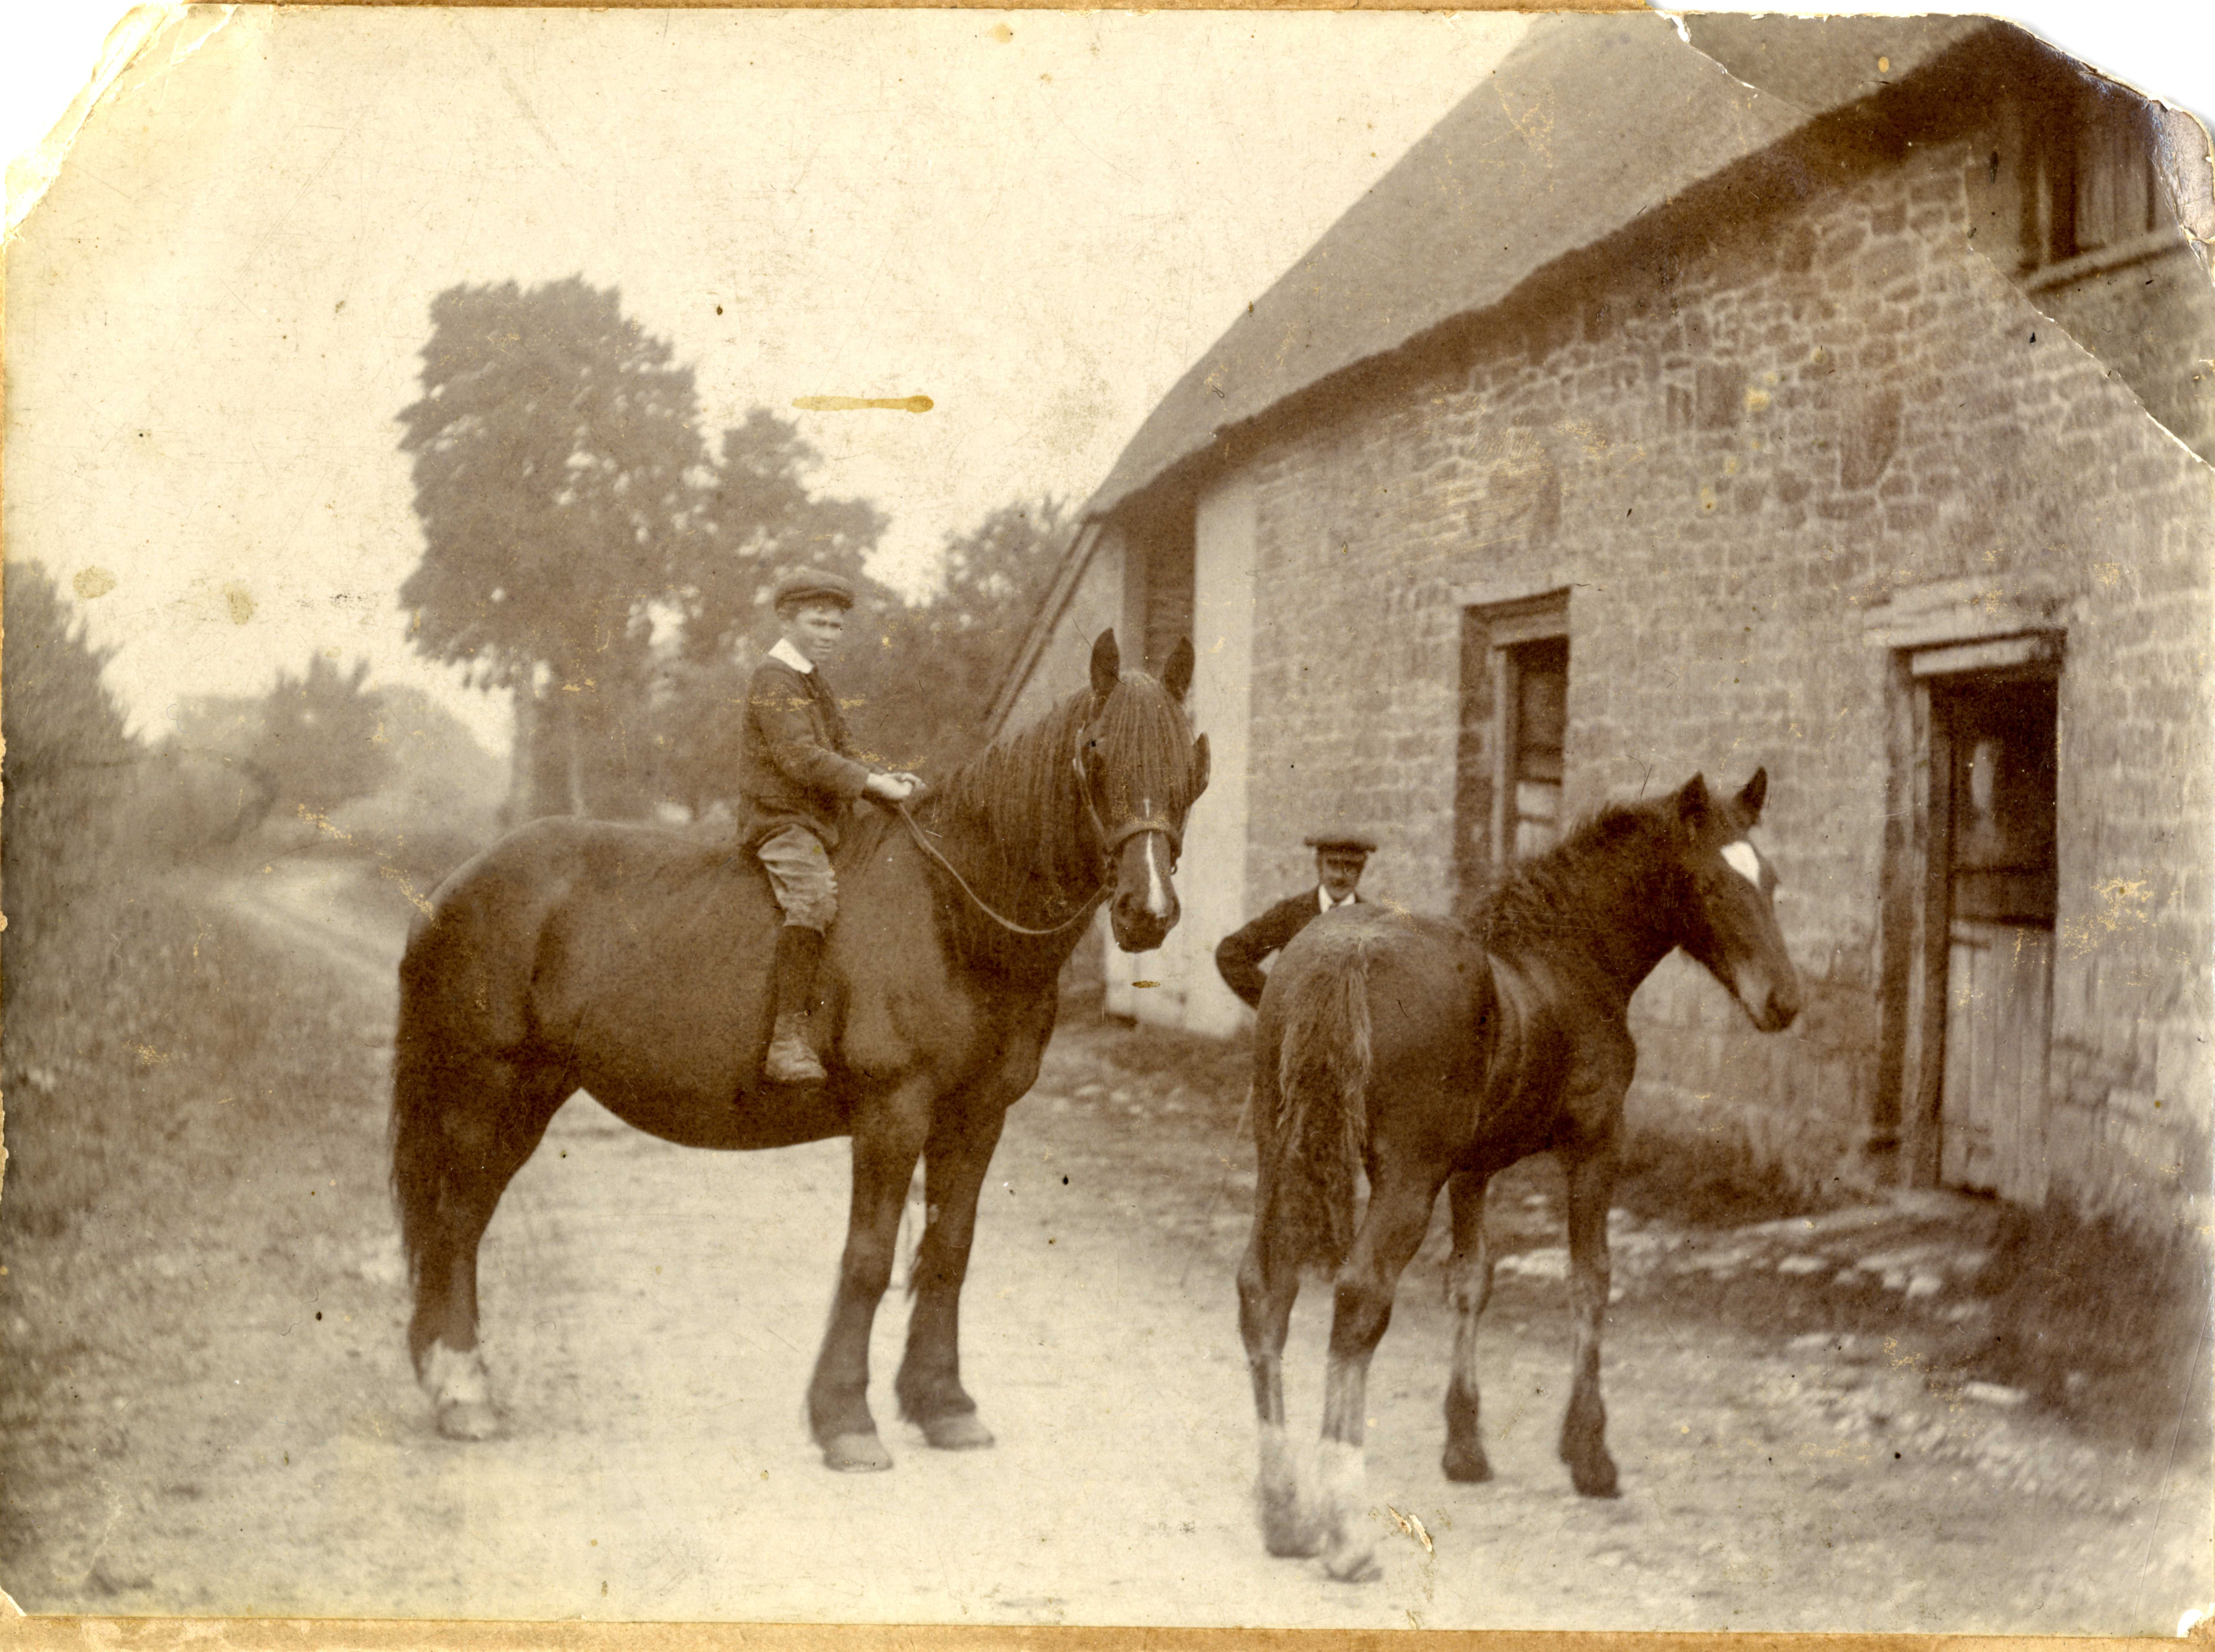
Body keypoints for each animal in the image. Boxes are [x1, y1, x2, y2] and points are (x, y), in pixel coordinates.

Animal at [390, 628, 1208, 1471]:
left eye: (1189, 759)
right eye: (1096, 751)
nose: (1147, 911)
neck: (954, 915)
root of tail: (450, 888)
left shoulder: (978, 1115)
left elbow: (948, 1251)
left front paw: (943, 1405)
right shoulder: (893, 1112)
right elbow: (869, 1259)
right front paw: (845, 1418)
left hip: (529, 1093)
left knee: (467, 1219)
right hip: (483, 1088)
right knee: (454, 1222)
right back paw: (464, 1394)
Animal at [1237, 770, 1801, 1580]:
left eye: (1771, 879)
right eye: (1707, 883)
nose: (1782, 1000)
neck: (1565, 957)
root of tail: (1342, 954)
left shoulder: (1471, 1171)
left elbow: (1471, 1281)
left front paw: (1464, 1447)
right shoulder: (1595, 1144)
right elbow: (1590, 1278)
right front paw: (1589, 1452)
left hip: (1277, 1157)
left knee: (1265, 1289)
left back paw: (1283, 1512)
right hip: (1403, 1180)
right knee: (1358, 1297)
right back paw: (1343, 1531)